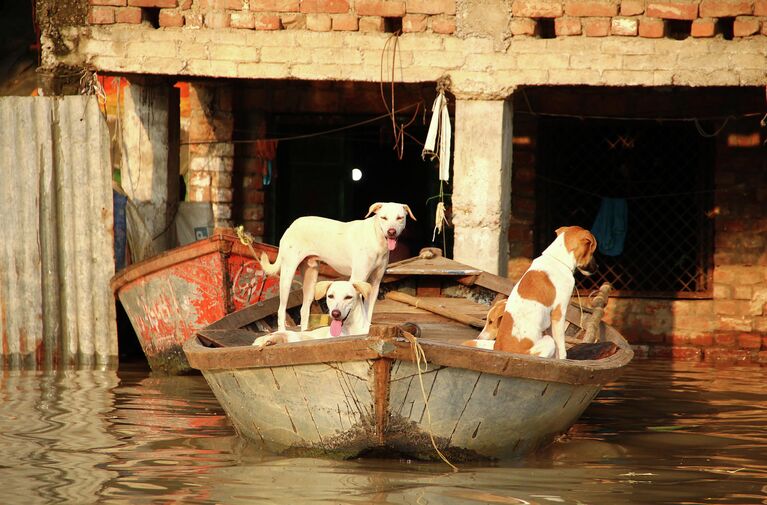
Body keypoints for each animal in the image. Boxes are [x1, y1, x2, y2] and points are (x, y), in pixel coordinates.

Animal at [258, 201, 416, 330]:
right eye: (383, 218)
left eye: (399, 218)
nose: (391, 232)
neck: (376, 240)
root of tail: (293, 224)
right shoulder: (357, 278)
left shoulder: (375, 284)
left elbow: (368, 310)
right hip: (288, 274)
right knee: (281, 310)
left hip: (311, 277)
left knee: (304, 309)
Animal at [462, 224, 600, 358]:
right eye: (592, 251)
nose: (597, 267)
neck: (556, 260)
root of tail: (498, 348)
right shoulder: (559, 313)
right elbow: (561, 348)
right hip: (548, 341)